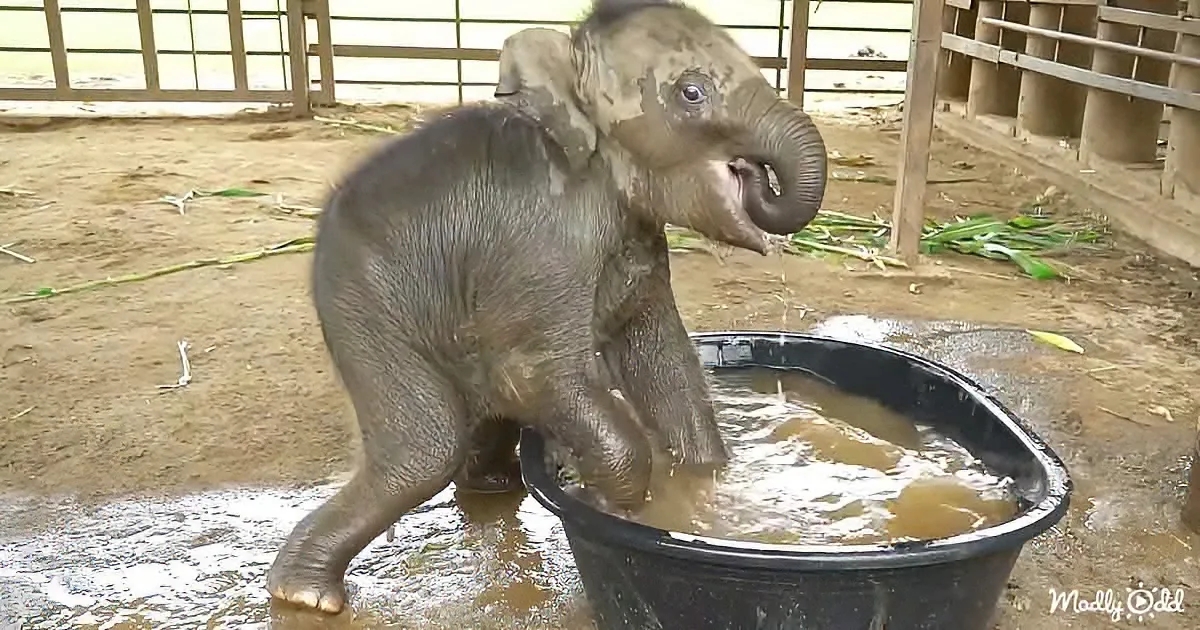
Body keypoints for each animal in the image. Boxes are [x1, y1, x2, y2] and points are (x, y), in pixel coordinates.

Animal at [266, 0, 828, 614]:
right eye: (692, 93)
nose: (753, 172)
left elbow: (664, 363)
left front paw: (697, 489)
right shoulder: (546, 242)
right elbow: (531, 376)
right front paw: (613, 508)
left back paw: (492, 486)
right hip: (365, 301)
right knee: (424, 449)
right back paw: (305, 596)